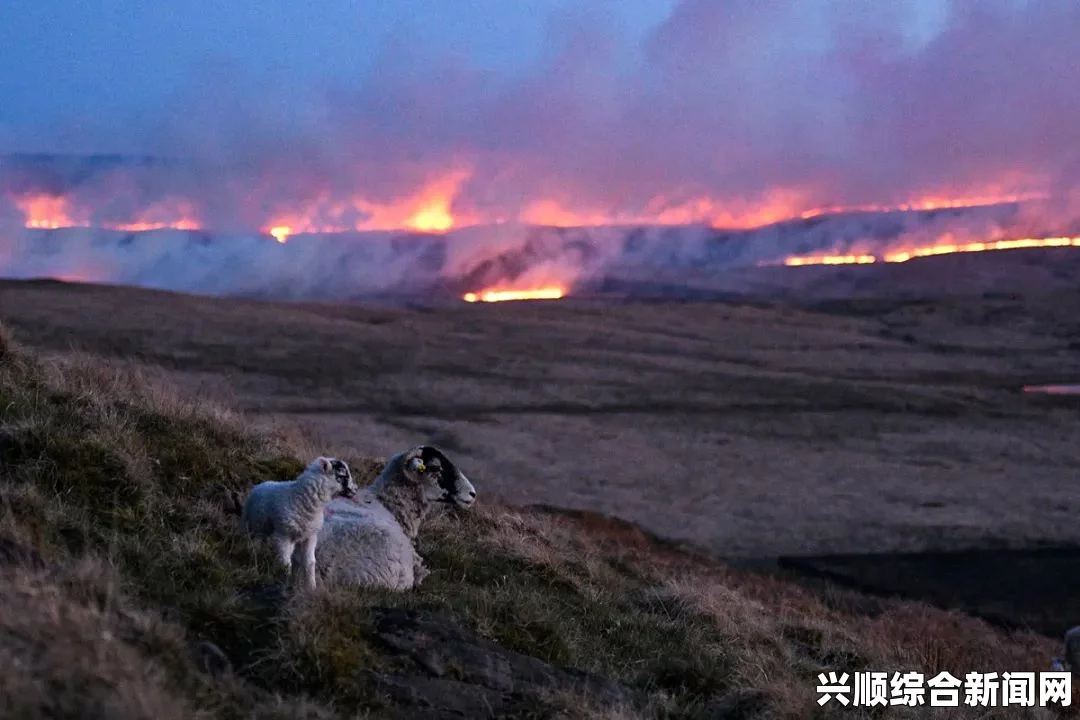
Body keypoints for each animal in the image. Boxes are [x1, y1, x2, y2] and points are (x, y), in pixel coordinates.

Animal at [231, 455, 358, 591]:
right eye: (343, 475)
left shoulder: (310, 537)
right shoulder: (283, 535)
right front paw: (286, 581)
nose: (356, 489)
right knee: (253, 542)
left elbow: (310, 562)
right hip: (252, 525)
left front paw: (311, 587)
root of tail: (263, 483)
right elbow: (286, 562)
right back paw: (251, 555)